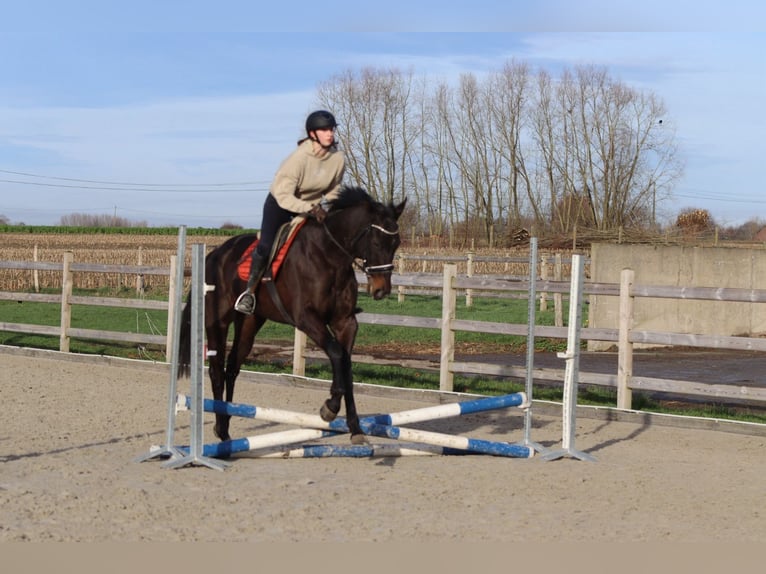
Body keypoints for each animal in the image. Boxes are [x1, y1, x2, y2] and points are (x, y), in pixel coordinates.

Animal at [178, 185, 407, 445]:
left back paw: (225, 429)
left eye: (396, 243)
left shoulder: (345, 322)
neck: (329, 257)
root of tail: (213, 255)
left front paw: (355, 428)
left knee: (232, 366)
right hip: (218, 322)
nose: (381, 290)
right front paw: (329, 407)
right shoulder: (307, 319)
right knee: (216, 370)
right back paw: (221, 429)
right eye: (377, 242)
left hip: (250, 322)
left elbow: (346, 367)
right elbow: (337, 354)